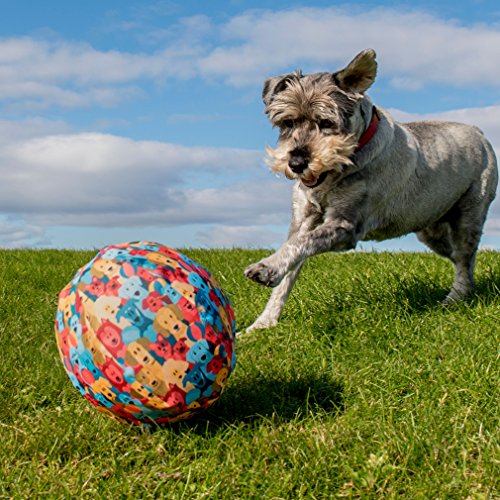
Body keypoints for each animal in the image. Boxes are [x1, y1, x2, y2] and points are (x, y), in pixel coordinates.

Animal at [244, 47, 498, 332]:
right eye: (287, 123)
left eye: (326, 122)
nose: (297, 163)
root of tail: (480, 133)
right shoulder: (303, 216)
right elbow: (291, 258)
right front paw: (261, 324)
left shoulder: (345, 224)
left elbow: (302, 243)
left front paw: (266, 268)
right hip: (431, 231)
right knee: (459, 257)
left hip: (469, 216)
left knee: (465, 258)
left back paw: (455, 298)